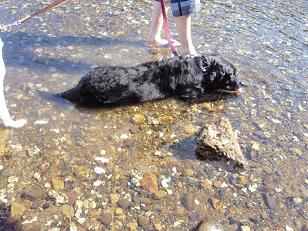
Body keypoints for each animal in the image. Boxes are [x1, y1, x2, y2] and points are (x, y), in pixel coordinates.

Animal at [60, 55, 242, 106]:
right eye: (232, 74)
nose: (242, 84)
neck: (202, 69)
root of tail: (80, 85)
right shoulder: (189, 95)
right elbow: (208, 95)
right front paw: (221, 95)